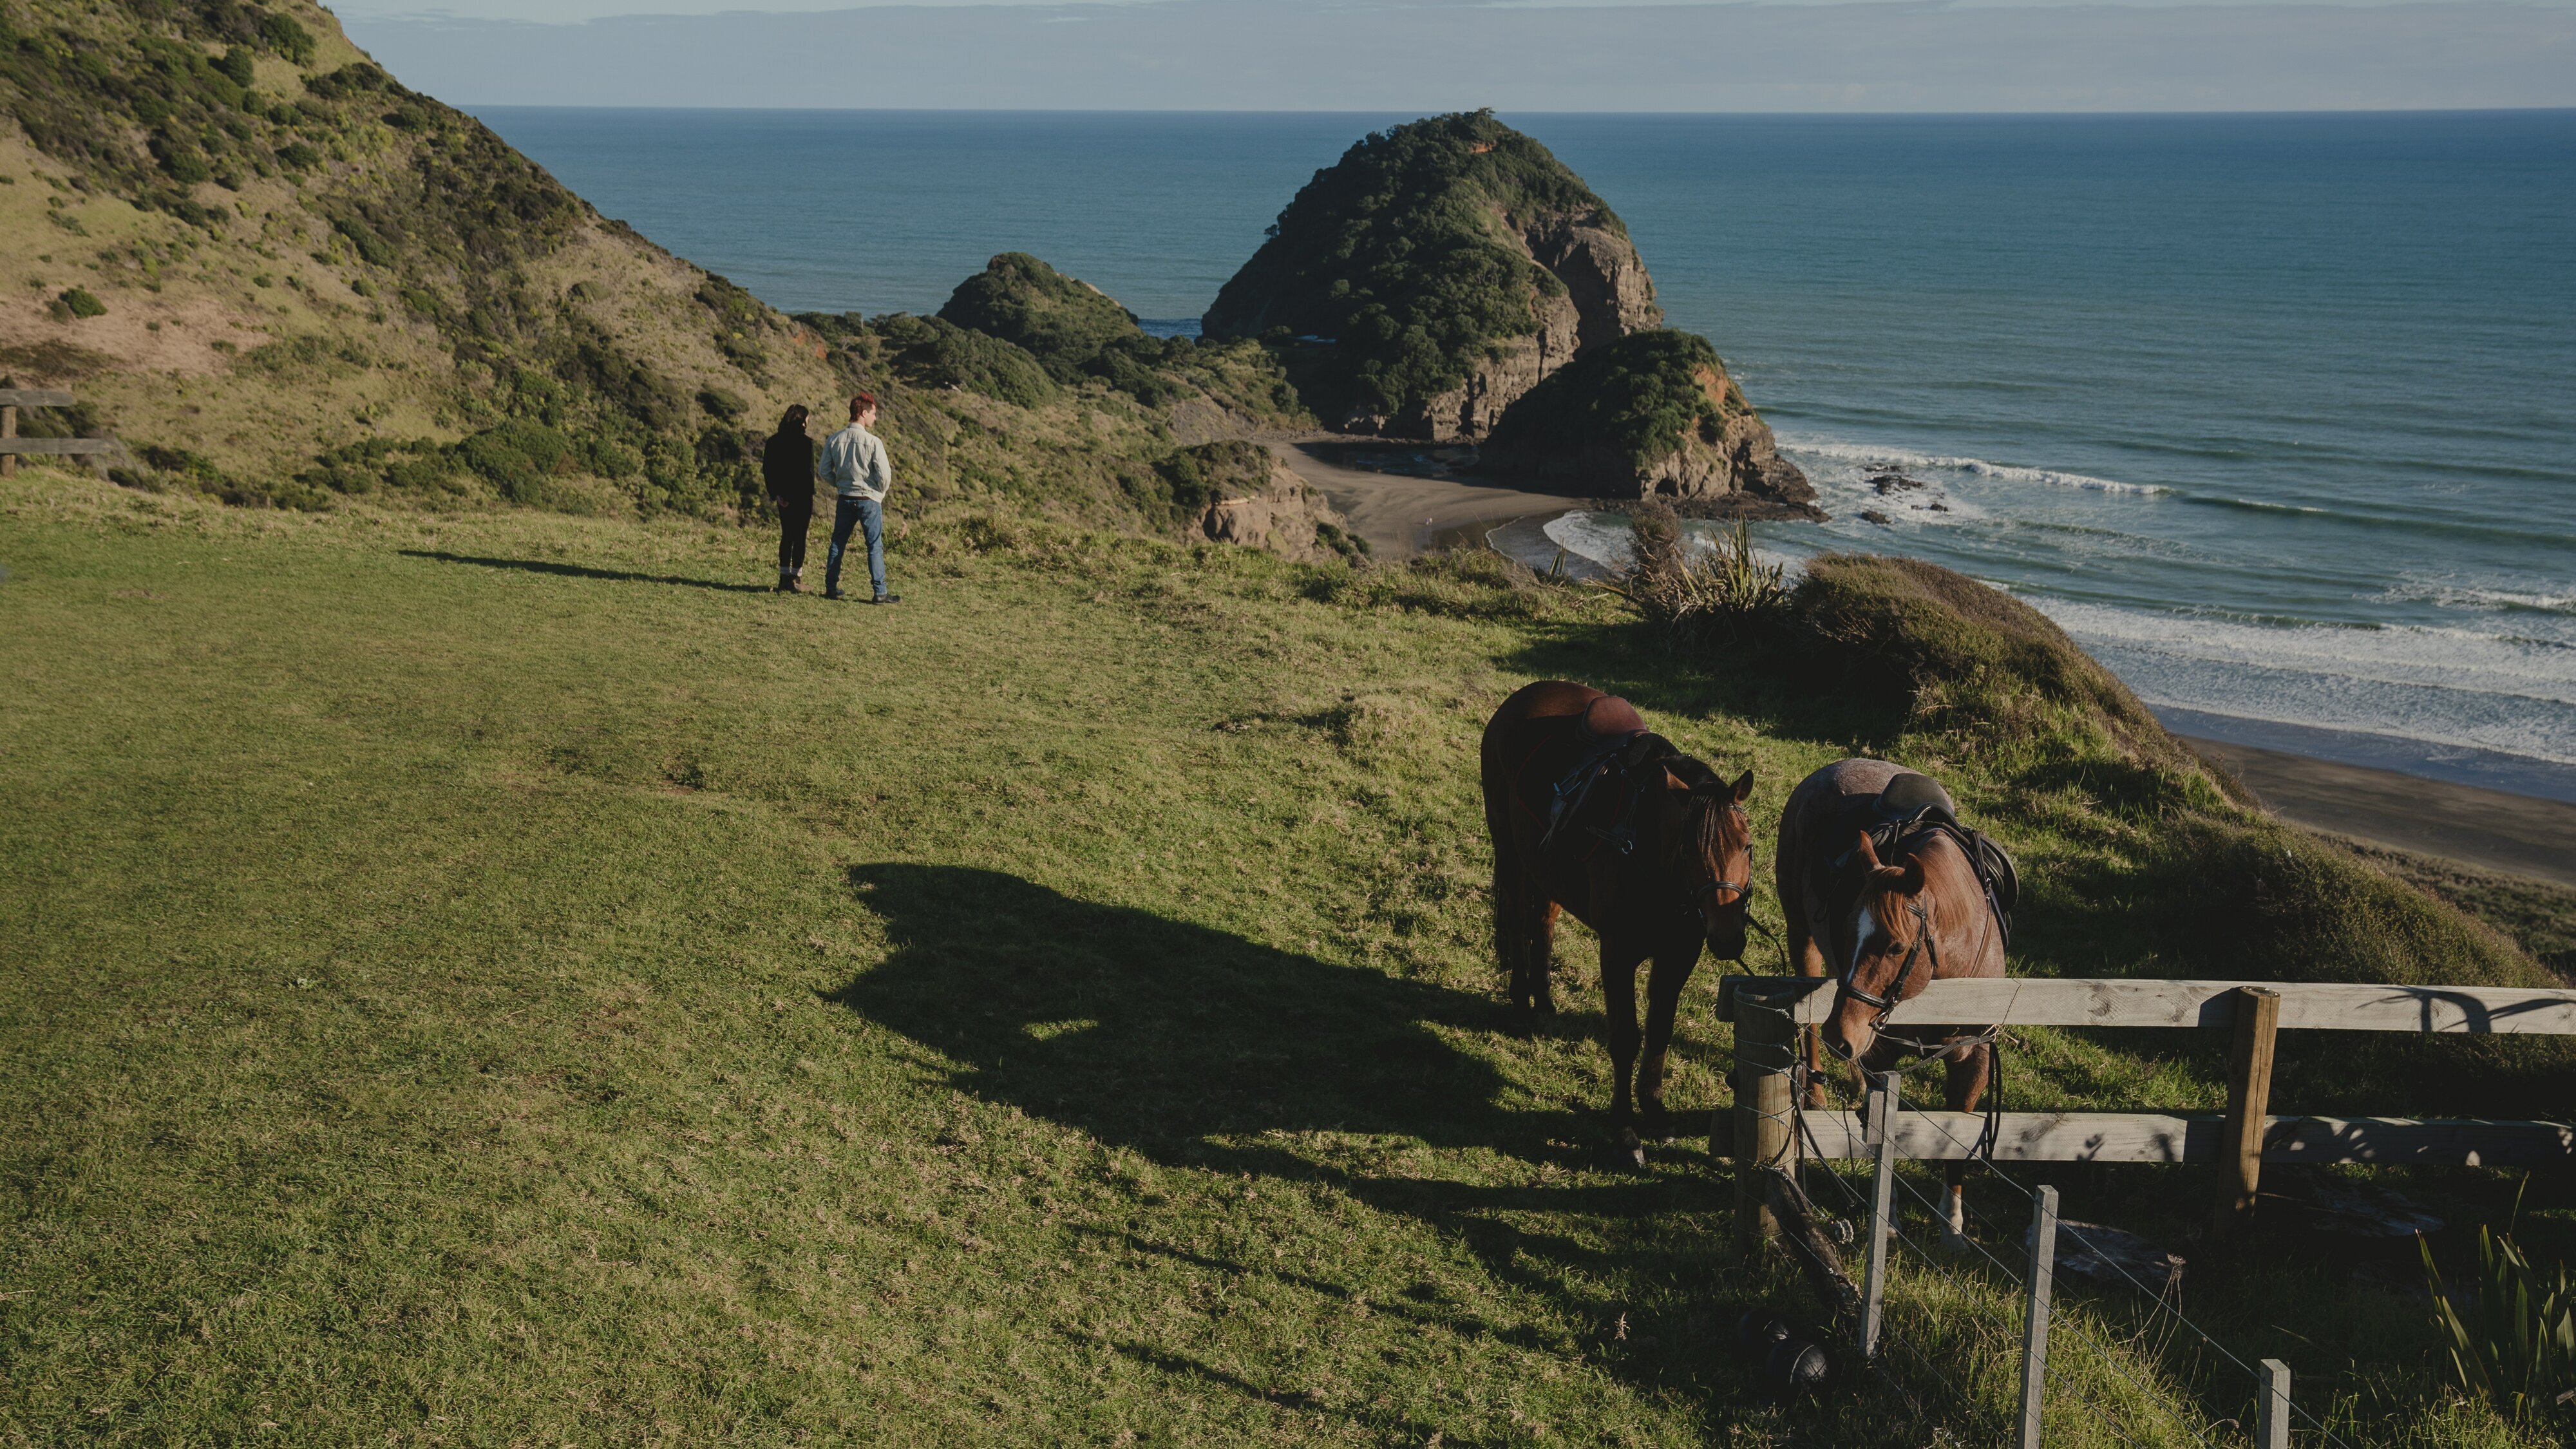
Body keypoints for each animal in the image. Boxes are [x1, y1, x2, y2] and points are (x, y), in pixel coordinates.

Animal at [1484, 675, 1762, 1150]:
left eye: (1746, 846)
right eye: (1689, 850)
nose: (1728, 936)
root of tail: (1525, 697)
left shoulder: (1678, 955)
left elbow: (1661, 1030)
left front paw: (1654, 1109)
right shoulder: (1617, 952)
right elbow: (1626, 1038)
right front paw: (1624, 1125)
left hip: (1548, 868)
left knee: (1543, 923)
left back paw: (1544, 1000)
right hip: (1512, 853)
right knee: (1519, 920)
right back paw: (1521, 1001)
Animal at [1783, 758, 2020, 1242]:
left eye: (1894, 946)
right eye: (1849, 929)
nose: (1842, 1036)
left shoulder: (1973, 1057)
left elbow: (1956, 1136)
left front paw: (1952, 1223)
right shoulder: (1883, 1054)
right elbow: (1881, 1133)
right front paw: (1887, 1218)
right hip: (1803, 940)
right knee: (1810, 1021)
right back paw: (1816, 1089)